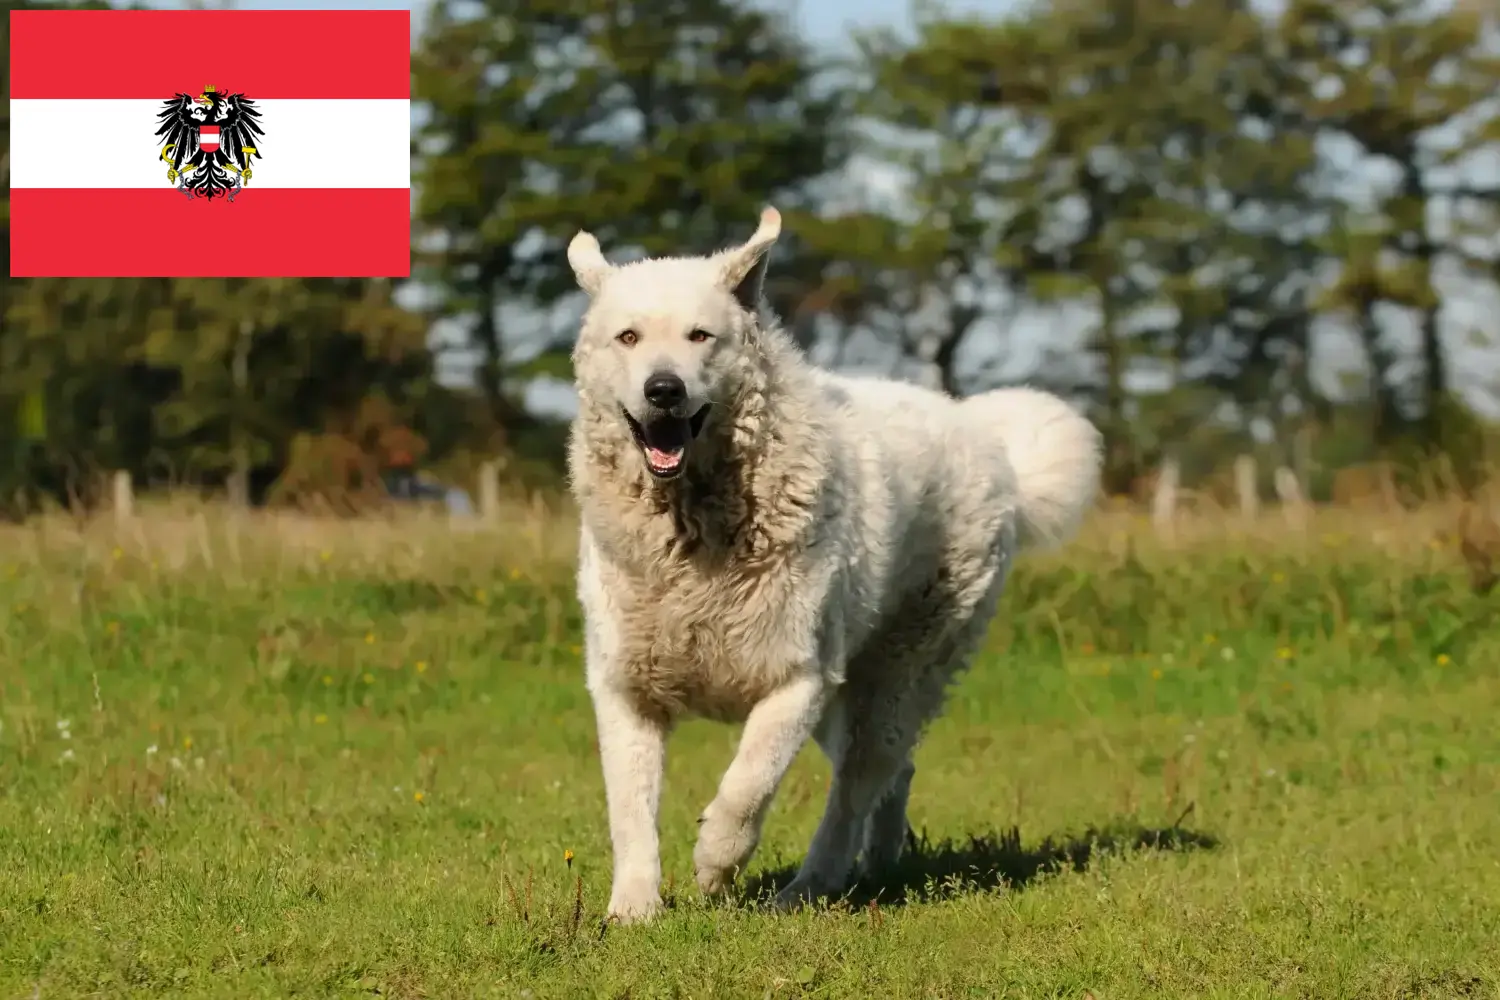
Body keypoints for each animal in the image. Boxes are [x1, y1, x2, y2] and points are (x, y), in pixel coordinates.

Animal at [564, 206, 1104, 929]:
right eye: (628, 337)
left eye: (700, 336)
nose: (664, 389)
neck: (696, 528)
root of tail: (985, 436)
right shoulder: (627, 689)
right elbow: (630, 810)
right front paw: (633, 909)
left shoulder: (800, 678)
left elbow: (748, 784)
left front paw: (714, 863)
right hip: (851, 695)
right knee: (893, 773)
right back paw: (880, 862)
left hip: (896, 671)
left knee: (856, 787)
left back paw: (810, 887)